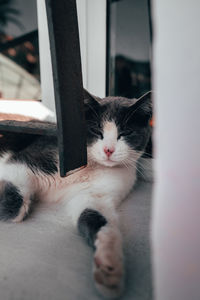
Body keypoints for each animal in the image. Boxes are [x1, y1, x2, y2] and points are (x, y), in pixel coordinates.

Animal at [0, 90, 152, 298]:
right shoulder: (26, 159)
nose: (108, 150)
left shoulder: (96, 195)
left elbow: (99, 219)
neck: (90, 167)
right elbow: (16, 187)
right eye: (96, 131)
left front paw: (109, 266)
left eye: (126, 133)